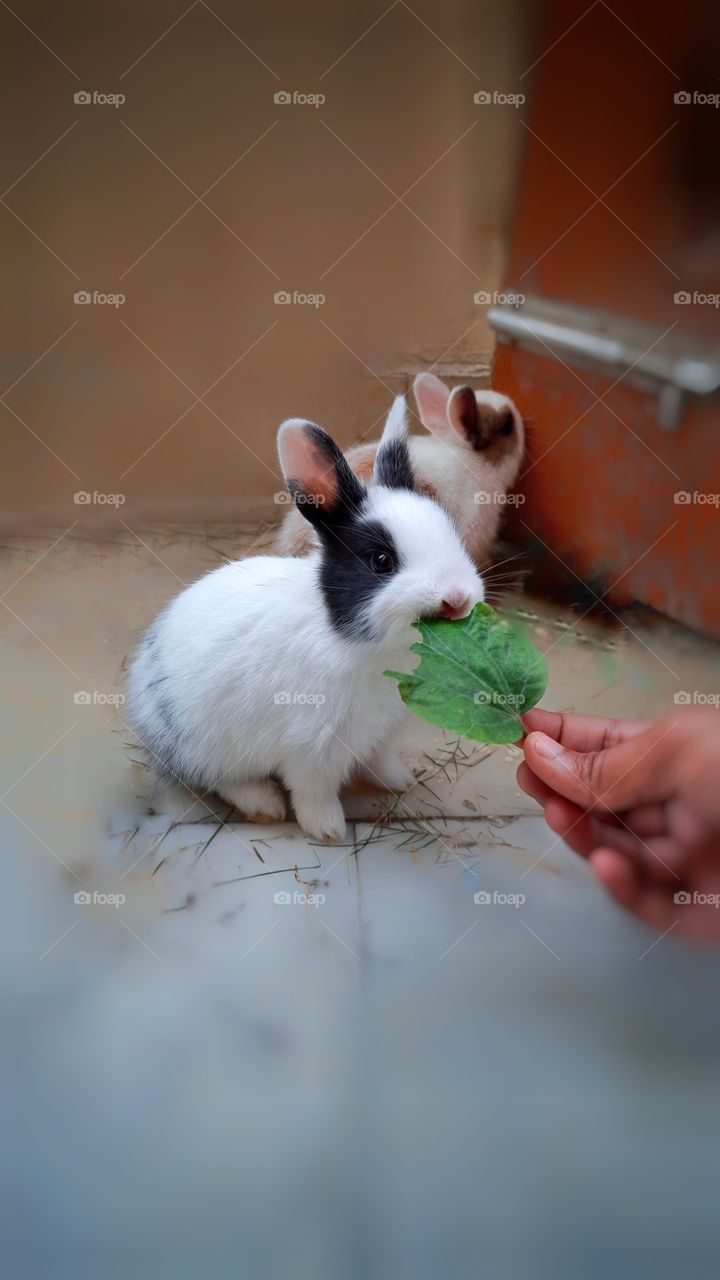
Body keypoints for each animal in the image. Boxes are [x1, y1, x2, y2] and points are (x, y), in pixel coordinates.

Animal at [127, 396, 484, 843]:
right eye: (381, 561)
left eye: (450, 534)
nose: (457, 598)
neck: (355, 640)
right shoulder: (311, 748)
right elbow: (314, 791)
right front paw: (328, 830)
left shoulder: (378, 734)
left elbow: (380, 759)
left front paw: (400, 780)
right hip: (206, 745)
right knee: (221, 778)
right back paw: (264, 804)